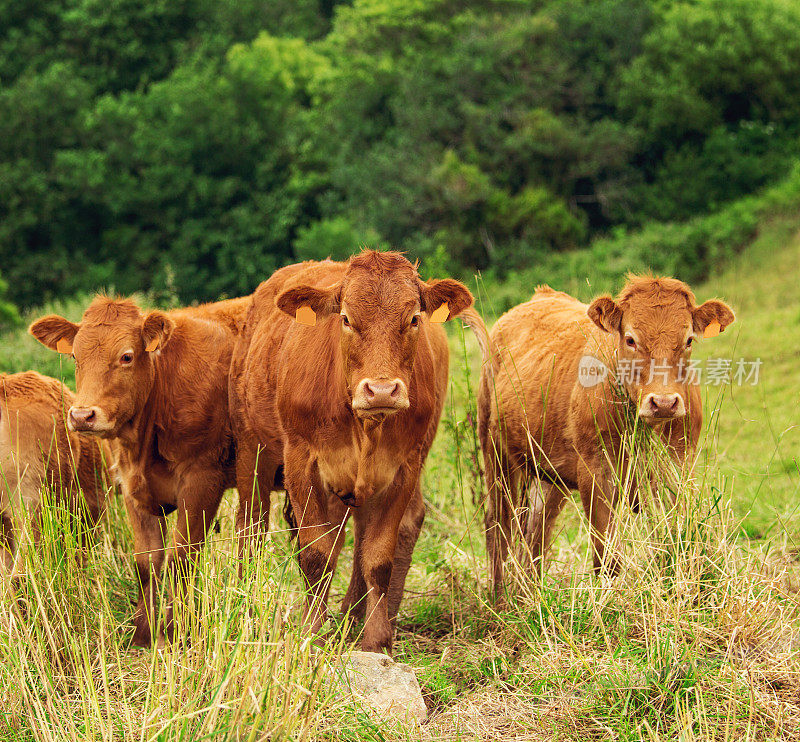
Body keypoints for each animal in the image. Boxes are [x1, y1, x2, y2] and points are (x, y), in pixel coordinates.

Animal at [30, 296, 250, 644]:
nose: (81, 415)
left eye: (126, 356)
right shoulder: (131, 484)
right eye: (76, 356)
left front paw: (176, 630)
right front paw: (144, 633)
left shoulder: (203, 479)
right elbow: (147, 562)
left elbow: (180, 559)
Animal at [227, 253, 488, 652]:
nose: (381, 391)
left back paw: (356, 619)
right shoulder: (301, 461)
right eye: (346, 318)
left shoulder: (402, 469)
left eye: (413, 318)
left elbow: (377, 558)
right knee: (251, 526)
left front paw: (376, 641)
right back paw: (247, 603)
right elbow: (316, 555)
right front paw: (312, 635)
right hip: (251, 447)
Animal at [478, 276, 736, 588]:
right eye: (630, 339)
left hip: (550, 474)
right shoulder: (596, 473)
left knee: (537, 530)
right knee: (499, 528)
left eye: (688, 340)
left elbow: (674, 541)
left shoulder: (678, 467)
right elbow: (607, 558)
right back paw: (500, 596)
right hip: (495, 450)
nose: (664, 403)